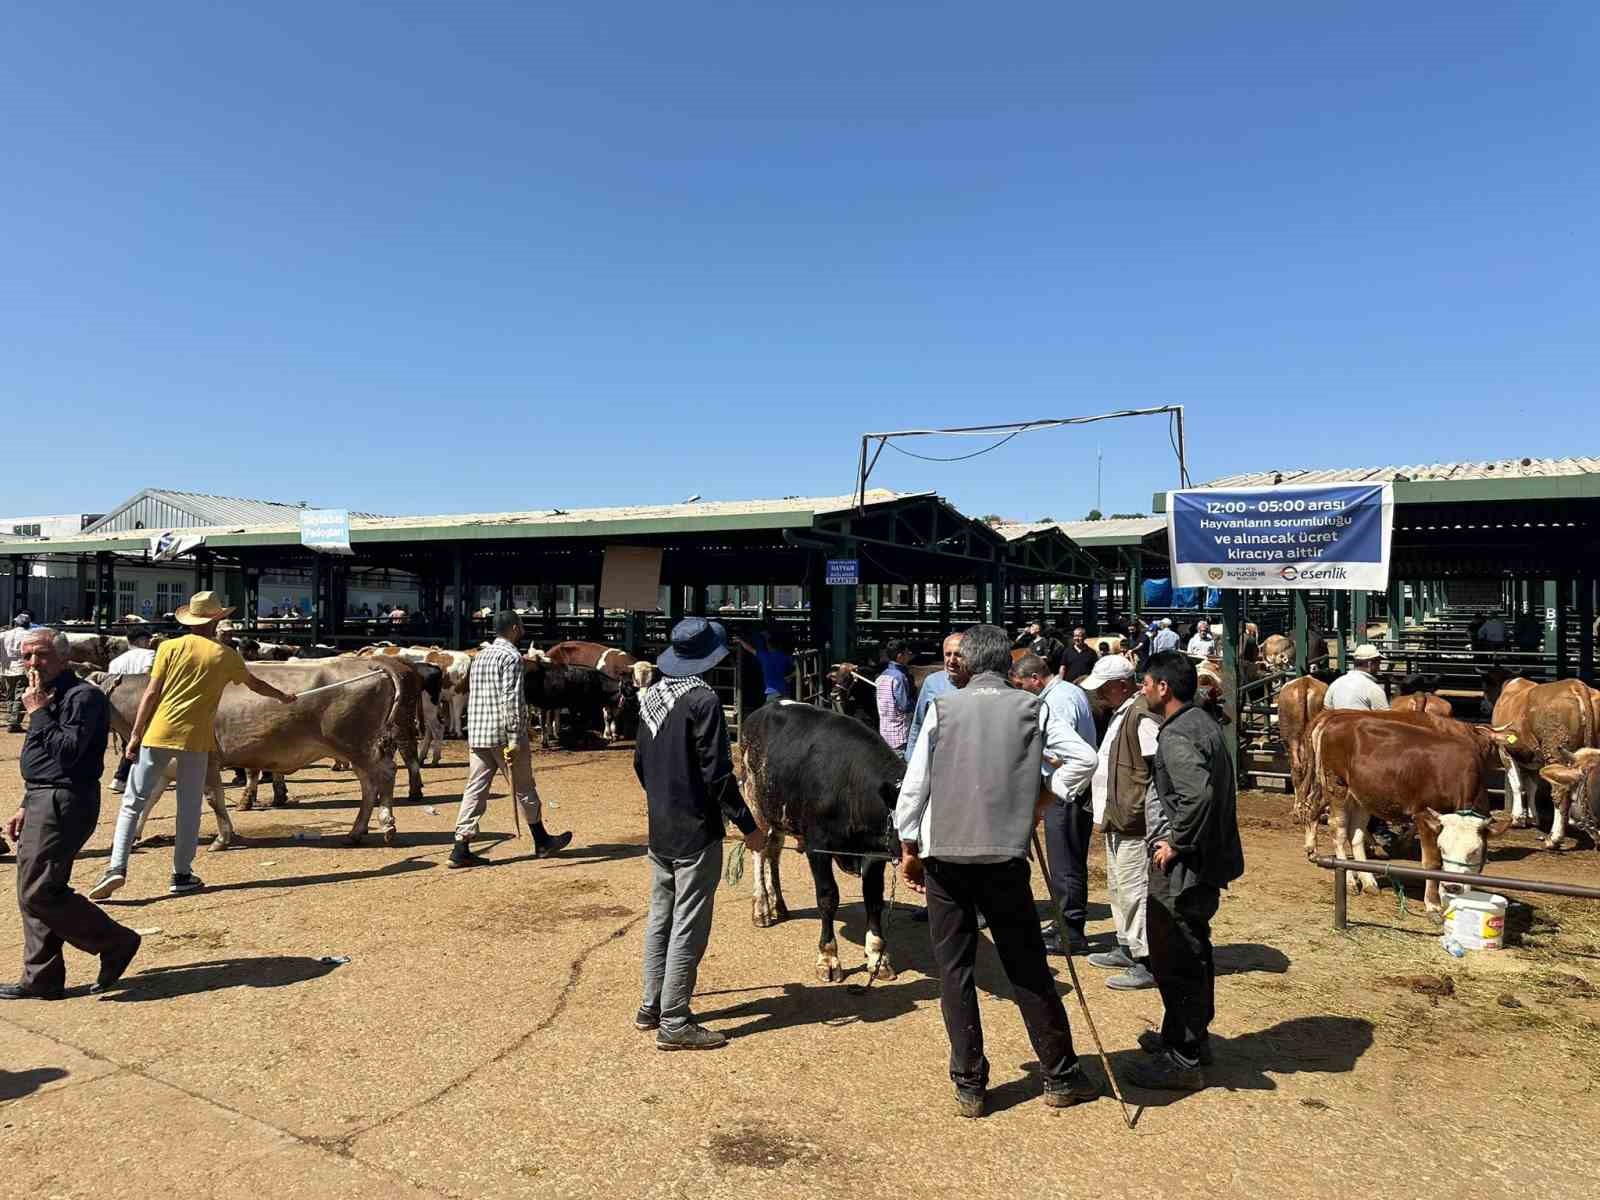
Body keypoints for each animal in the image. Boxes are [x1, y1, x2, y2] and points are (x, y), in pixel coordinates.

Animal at [732, 704, 908, 985]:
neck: (850, 783)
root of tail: (762, 710)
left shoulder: (875, 853)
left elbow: (873, 899)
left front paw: (878, 957)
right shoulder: (818, 846)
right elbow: (828, 897)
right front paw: (828, 958)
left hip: (780, 814)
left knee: (773, 852)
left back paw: (779, 905)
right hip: (756, 804)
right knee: (759, 853)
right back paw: (761, 908)